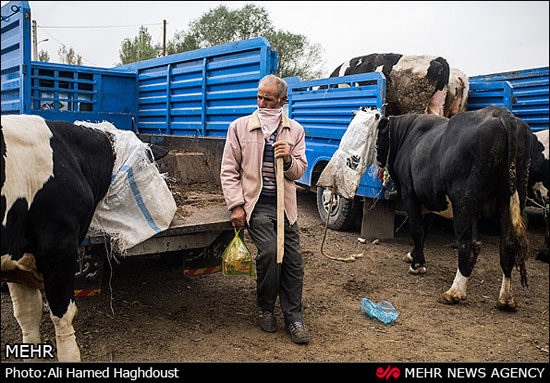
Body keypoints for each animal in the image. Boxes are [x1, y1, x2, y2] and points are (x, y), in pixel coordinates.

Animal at [374, 106, 540, 312]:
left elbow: (417, 229)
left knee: (468, 244)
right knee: (507, 244)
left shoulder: (410, 194)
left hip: (464, 201)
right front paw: (414, 255)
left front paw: (417, 264)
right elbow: (424, 229)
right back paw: (506, 298)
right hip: (509, 198)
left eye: (377, 136)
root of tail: (502, 113)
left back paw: (454, 292)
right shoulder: (432, 200)